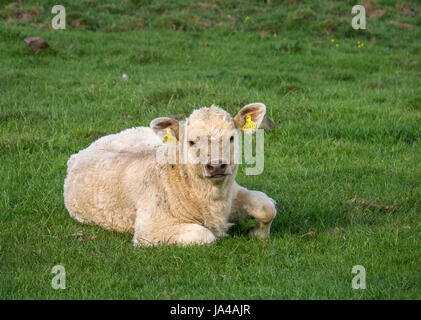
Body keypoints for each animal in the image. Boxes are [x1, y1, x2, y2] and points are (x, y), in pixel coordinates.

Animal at [64, 102, 278, 245]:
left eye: (232, 138)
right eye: (191, 142)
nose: (216, 166)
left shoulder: (231, 192)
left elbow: (266, 207)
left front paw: (257, 234)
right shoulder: (149, 229)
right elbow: (205, 235)